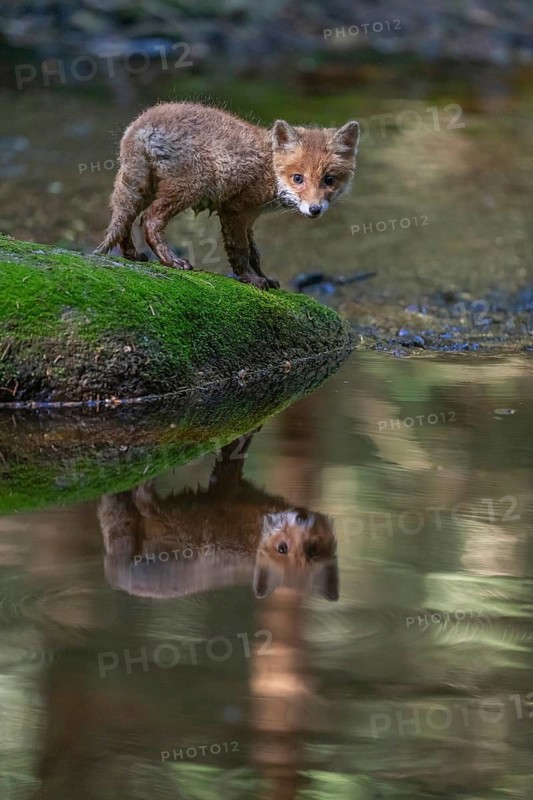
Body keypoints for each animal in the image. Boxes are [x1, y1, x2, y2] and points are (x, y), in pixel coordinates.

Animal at [94, 102, 360, 290]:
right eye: (298, 178)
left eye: (329, 180)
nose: (314, 209)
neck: (268, 169)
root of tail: (142, 125)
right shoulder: (235, 211)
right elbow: (240, 251)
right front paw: (252, 280)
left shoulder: (250, 218)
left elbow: (255, 254)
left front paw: (264, 277)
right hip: (190, 187)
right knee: (149, 221)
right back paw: (172, 261)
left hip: (144, 189)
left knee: (124, 220)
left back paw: (132, 255)